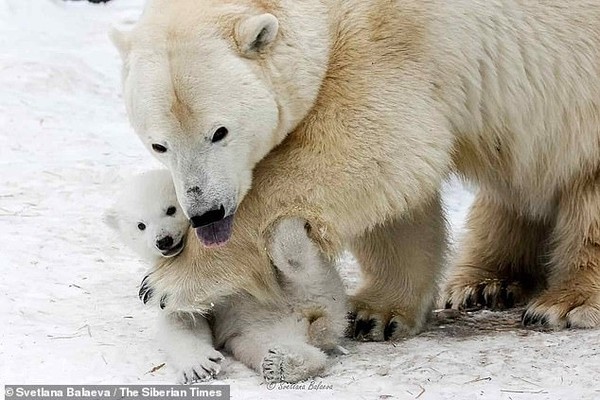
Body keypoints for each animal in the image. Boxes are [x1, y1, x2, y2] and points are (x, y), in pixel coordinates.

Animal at [111, 0, 600, 338]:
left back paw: (564, 303)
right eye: (159, 145)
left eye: (219, 132)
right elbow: (393, 199)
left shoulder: (390, 42)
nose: (205, 214)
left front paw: (165, 283)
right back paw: (482, 283)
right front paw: (376, 313)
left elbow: (363, 149)